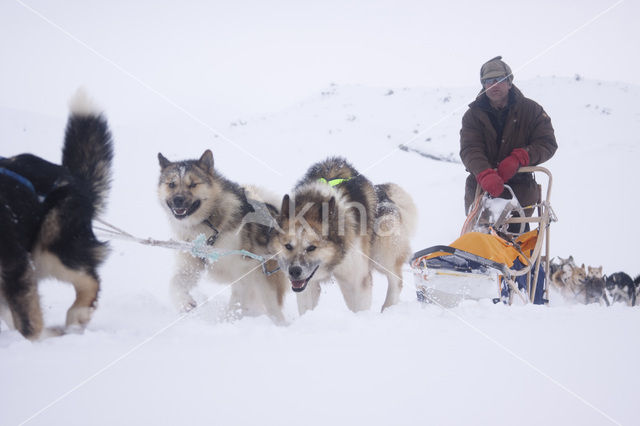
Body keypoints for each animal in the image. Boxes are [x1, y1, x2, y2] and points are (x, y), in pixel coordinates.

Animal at [0, 91, 114, 342]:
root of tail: (72, 177)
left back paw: (74, 320)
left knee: (90, 279)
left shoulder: (15, 264)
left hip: (50, 247)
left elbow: (28, 327)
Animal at [158, 150, 288, 322]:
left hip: (265, 284)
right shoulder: (191, 264)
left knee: (275, 312)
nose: (178, 200)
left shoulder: (243, 269)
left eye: (193, 184)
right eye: (171, 184)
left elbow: (237, 301)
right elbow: (175, 284)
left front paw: (228, 321)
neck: (206, 224)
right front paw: (184, 302)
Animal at [272, 156, 418, 312]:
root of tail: (381, 193)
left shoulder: (356, 280)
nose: (294, 271)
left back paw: (388, 307)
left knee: (396, 280)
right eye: (288, 246)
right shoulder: (307, 284)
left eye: (311, 247)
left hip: (382, 252)